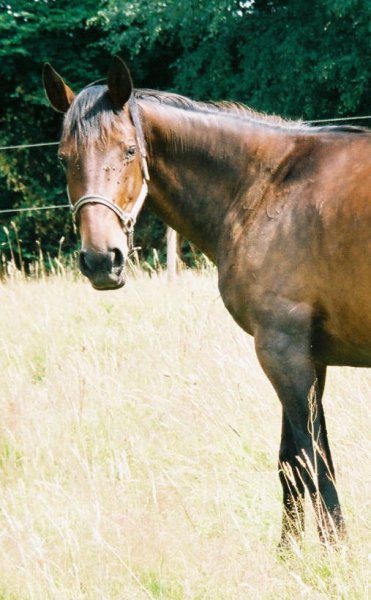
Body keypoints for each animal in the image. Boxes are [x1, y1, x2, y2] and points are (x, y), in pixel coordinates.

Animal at [42, 56, 370, 548]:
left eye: (129, 151)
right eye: (64, 159)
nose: (102, 260)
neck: (268, 185)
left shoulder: (283, 352)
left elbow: (314, 461)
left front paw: (335, 553)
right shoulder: (307, 356)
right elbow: (291, 463)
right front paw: (289, 555)